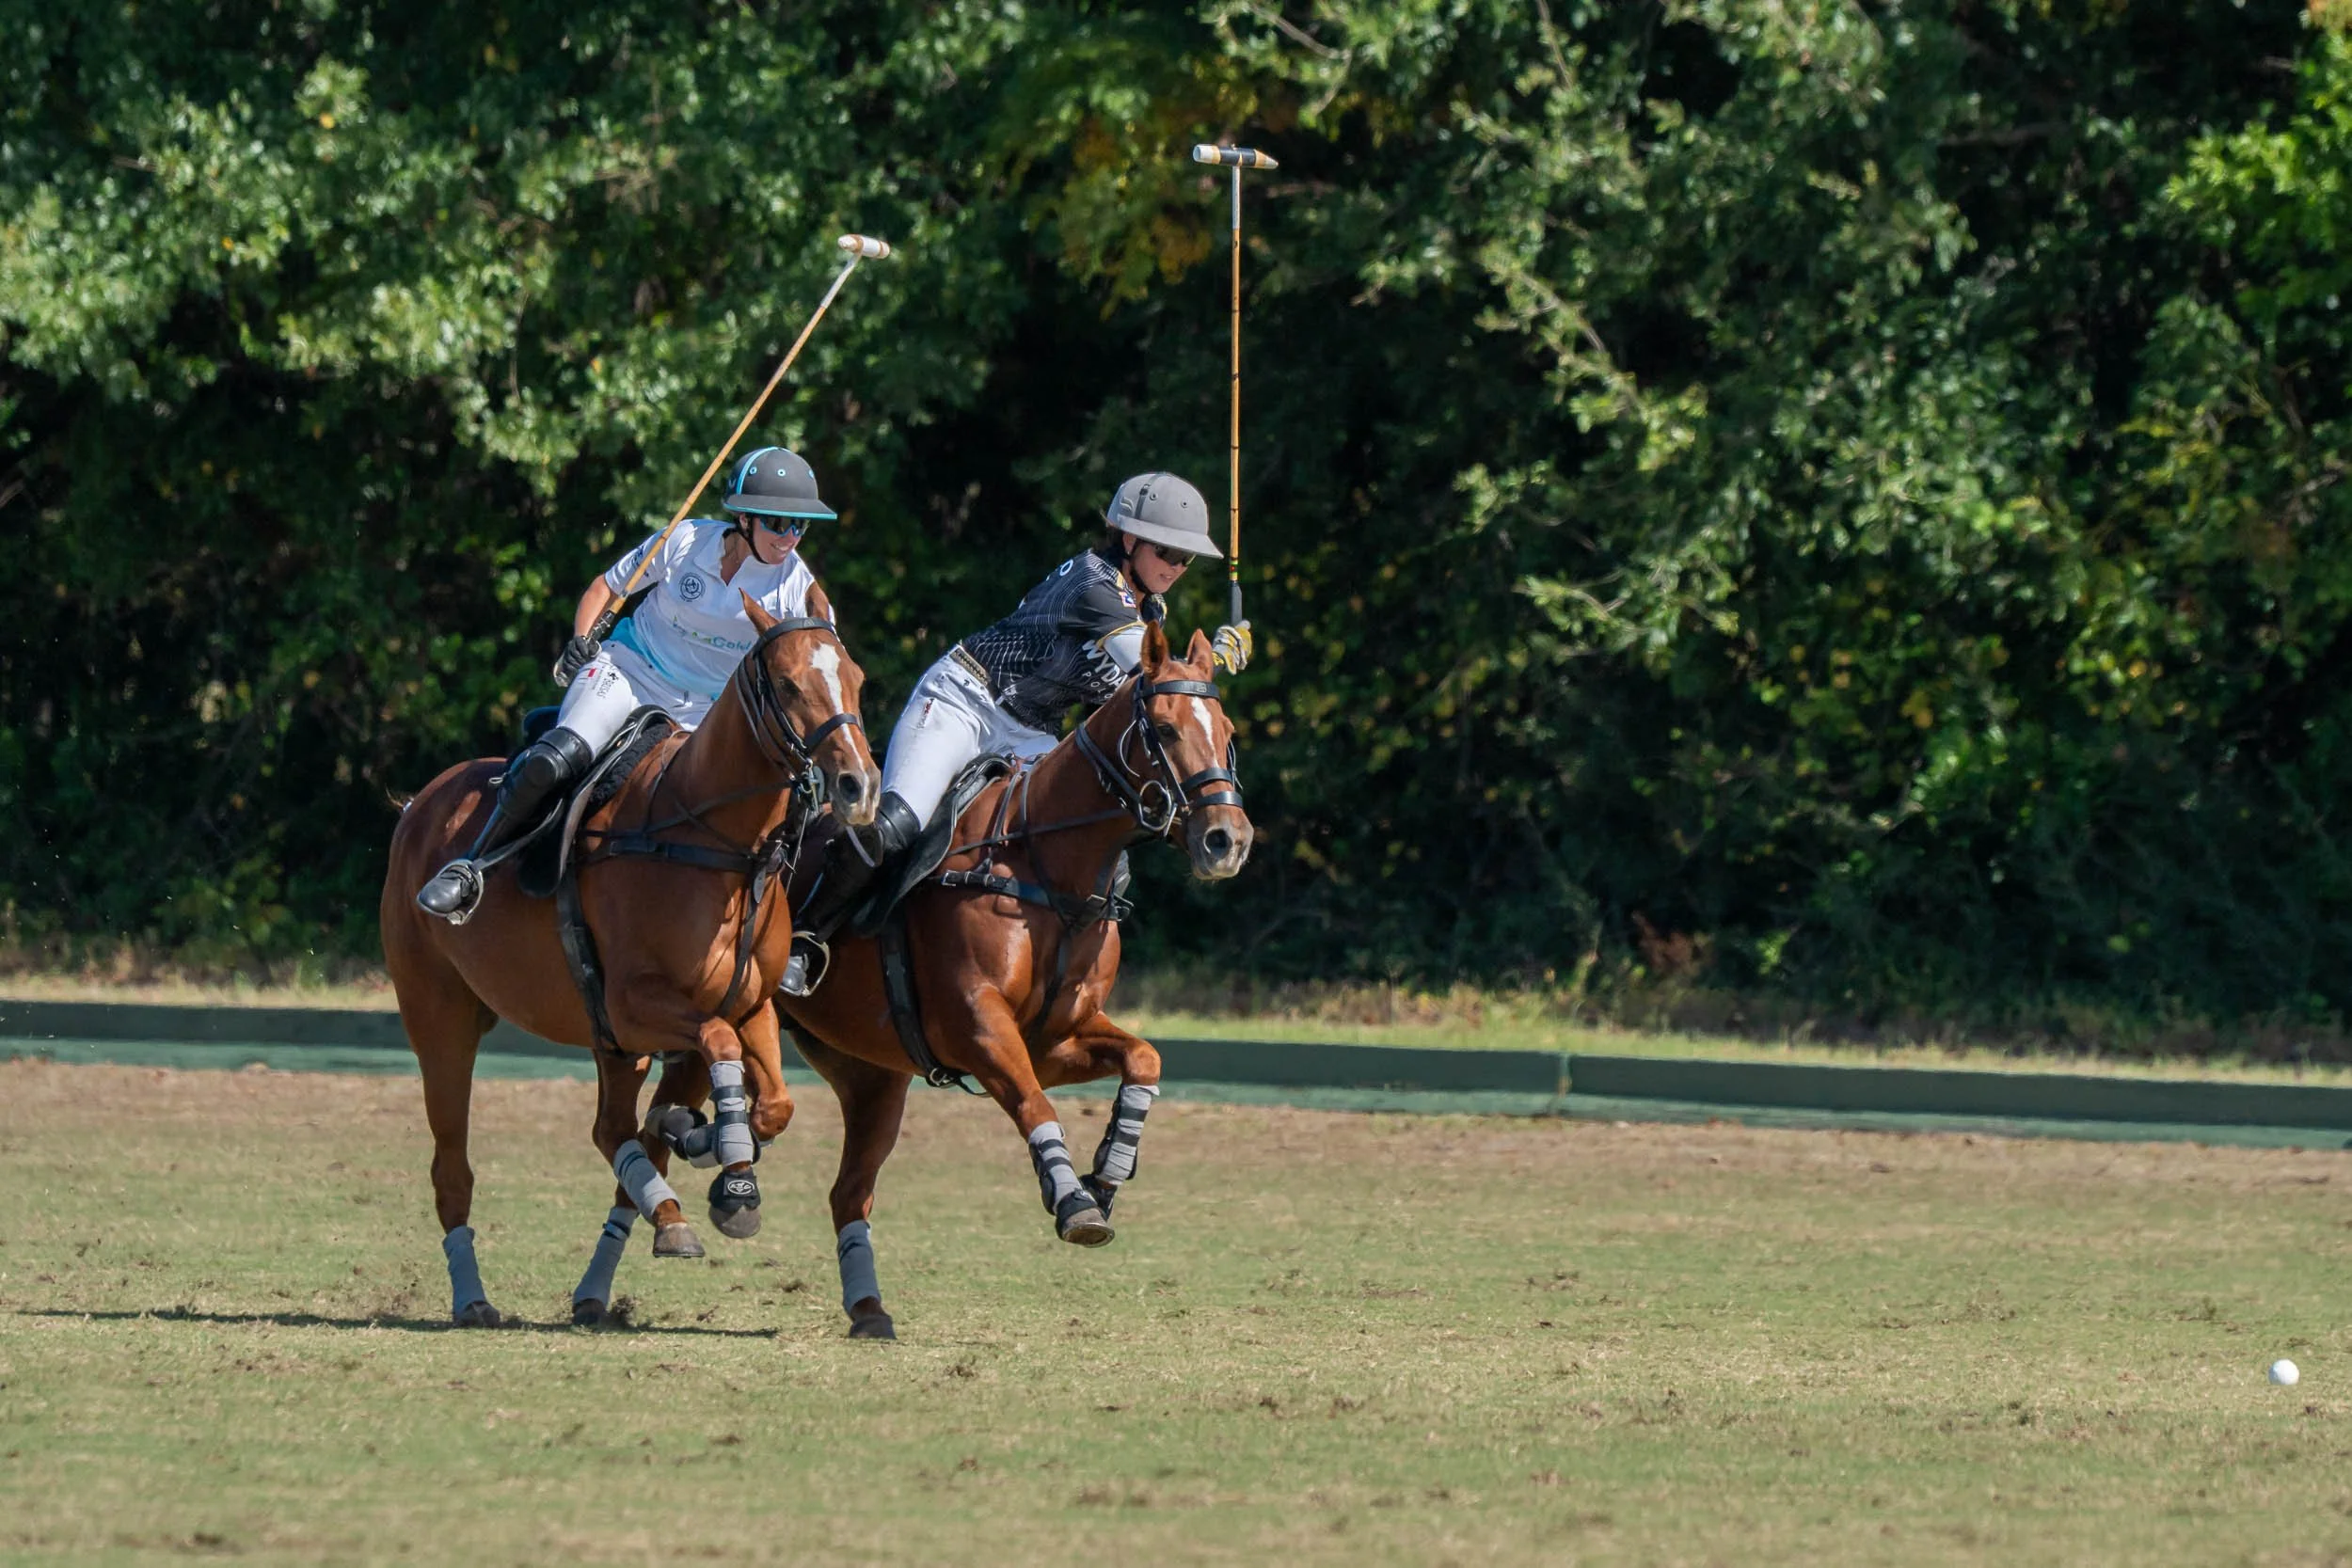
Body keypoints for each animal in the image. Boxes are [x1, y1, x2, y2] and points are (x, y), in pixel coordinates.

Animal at [380, 590, 878, 1326]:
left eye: (856, 679)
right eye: (788, 684)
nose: (858, 785)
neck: (717, 843)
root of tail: (419, 805)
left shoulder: (750, 1001)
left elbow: (776, 1102)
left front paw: (717, 1158)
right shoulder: (635, 1003)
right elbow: (720, 1046)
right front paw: (720, 1158)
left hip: (609, 1041)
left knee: (609, 1126)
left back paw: (665, 1213)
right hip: (440, 1017)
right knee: (452, 1167)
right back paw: (473, 1297)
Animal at [775, 620, 1251, 1339]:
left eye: (1225, 729)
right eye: (1165, 730)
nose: (1229, 840)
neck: (1049, 865)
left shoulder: (1053, 1038)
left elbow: (1143, 1057)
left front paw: (1108, 1172)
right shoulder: (975, 1025)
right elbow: (1033, 1104)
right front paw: (1076, 1204)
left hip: (869, 1074)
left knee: (847, 1189)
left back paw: (869, 1311)